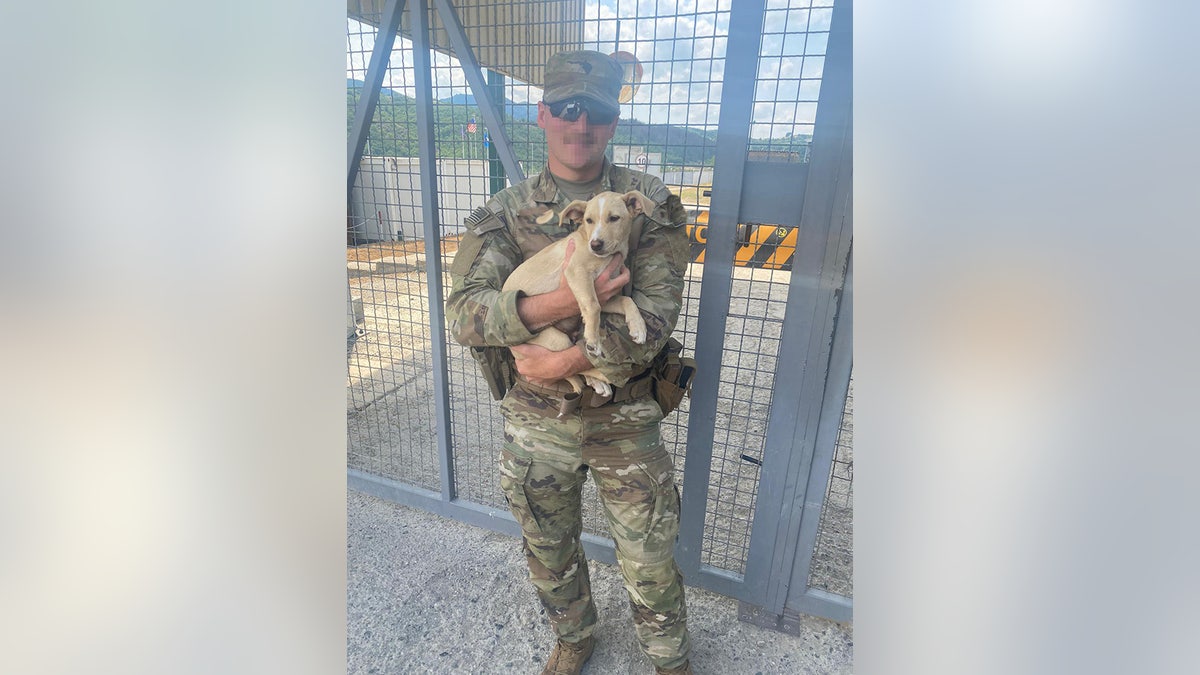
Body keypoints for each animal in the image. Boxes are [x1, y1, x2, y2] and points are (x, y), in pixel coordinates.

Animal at [501, 189, 652, 393]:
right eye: (588, 220)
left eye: (614, 218)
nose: (595, 244)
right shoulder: (577, 273)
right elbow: (593, 306)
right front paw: (593, 340)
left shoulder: (606, 294)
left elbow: (627, 300)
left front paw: (639, 328)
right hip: (557, 340)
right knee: (564, 368)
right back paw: (603, 375)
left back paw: (598, 381)